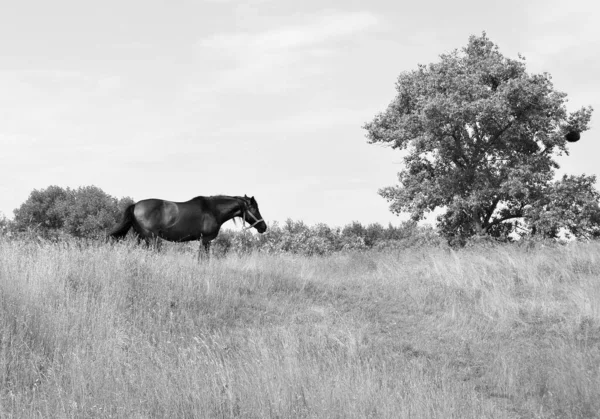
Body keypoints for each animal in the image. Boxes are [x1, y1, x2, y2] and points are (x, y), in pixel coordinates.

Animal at [108, 195, 268, 258]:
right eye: (255, 208)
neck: (212, 210)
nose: (263, 227)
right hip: (151, 239)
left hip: (141, 238)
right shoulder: (206, 240)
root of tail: (135, 205)